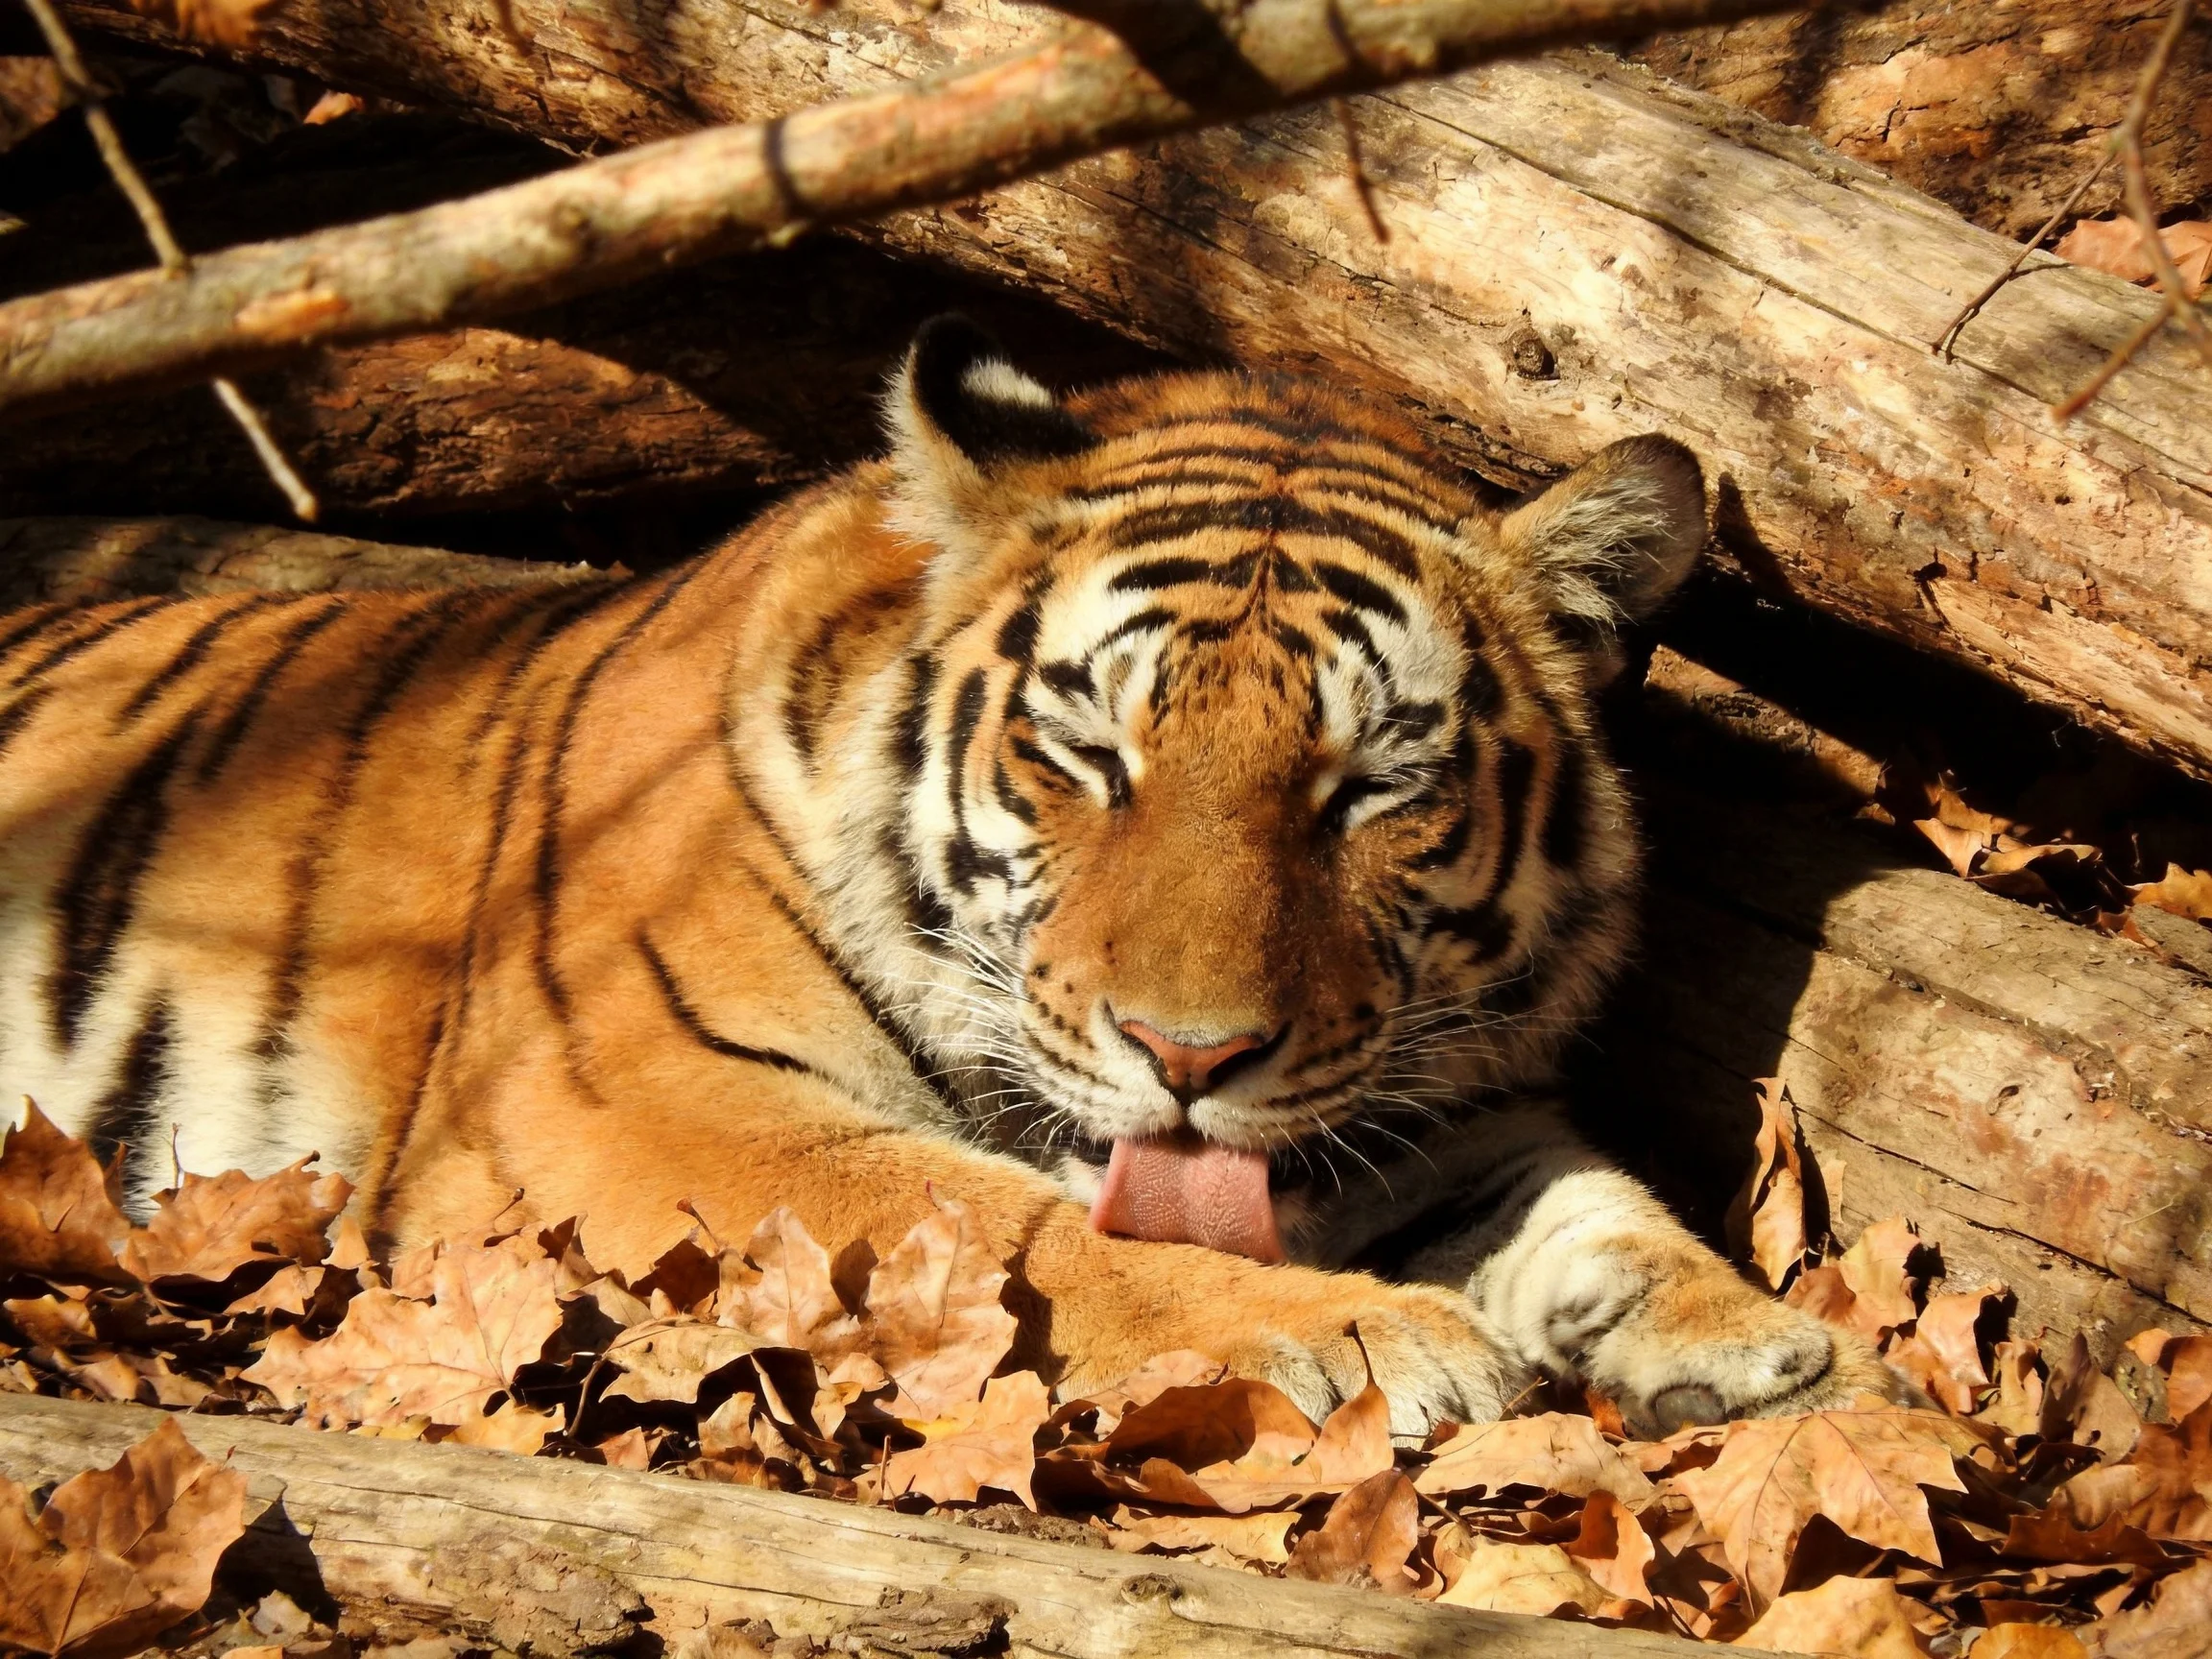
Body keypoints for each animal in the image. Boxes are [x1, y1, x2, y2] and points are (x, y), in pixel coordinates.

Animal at [0, 317, 1901, 1437]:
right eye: (1091, 754)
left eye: (1369, 787)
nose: (1193, 1058)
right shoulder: (624, 1093)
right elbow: (1001, 1222)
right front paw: (1383, 1343)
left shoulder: (1427, 1102)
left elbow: (1591, 1206)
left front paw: (1756, 1339)